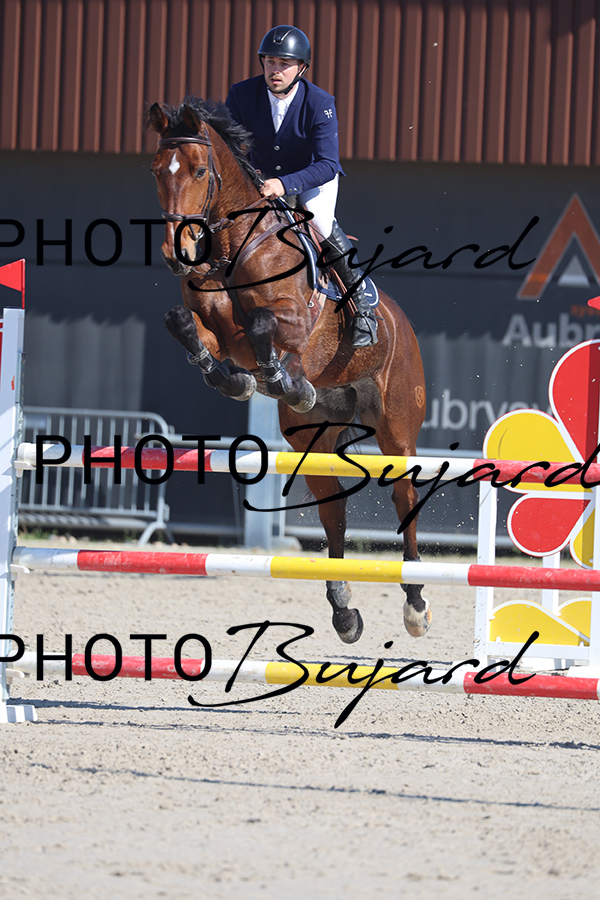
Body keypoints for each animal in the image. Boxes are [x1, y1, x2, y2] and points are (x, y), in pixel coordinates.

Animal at [147, 97, 430, 644]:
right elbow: (185, 326)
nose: (179, 254)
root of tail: (404, 324)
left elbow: (265, 327)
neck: (231, 249)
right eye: (156, 171)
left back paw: (416, 604)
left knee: (404, 497)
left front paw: (282, 379)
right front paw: (237, 380)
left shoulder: (293, 322)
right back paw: (344, 612)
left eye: (199, 171)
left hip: (397, 429)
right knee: (333, 510)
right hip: (311, 441)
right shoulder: (216, 330)